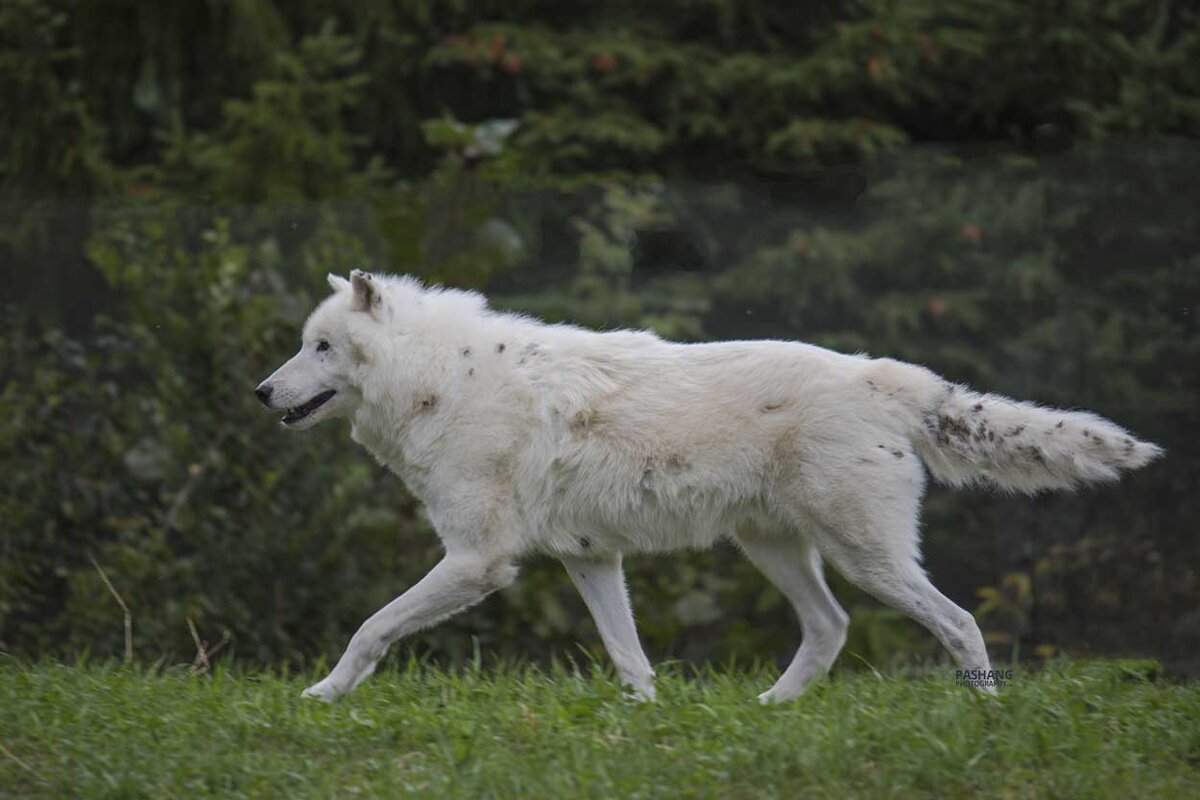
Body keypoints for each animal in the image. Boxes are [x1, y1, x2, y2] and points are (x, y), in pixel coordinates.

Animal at [255, 272, 1161, 705]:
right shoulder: (588, 559)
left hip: (864, 557)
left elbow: (370, 629)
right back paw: (768, 709)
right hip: (780, 552)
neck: (441, 381)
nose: (261, 393)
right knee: (830, 629)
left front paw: (323, 695)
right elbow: (632, 660)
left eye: (321, 347)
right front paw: (648, 723)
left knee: (961, 622)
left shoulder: (479, 562)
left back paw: (984, 715)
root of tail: (886, 375)